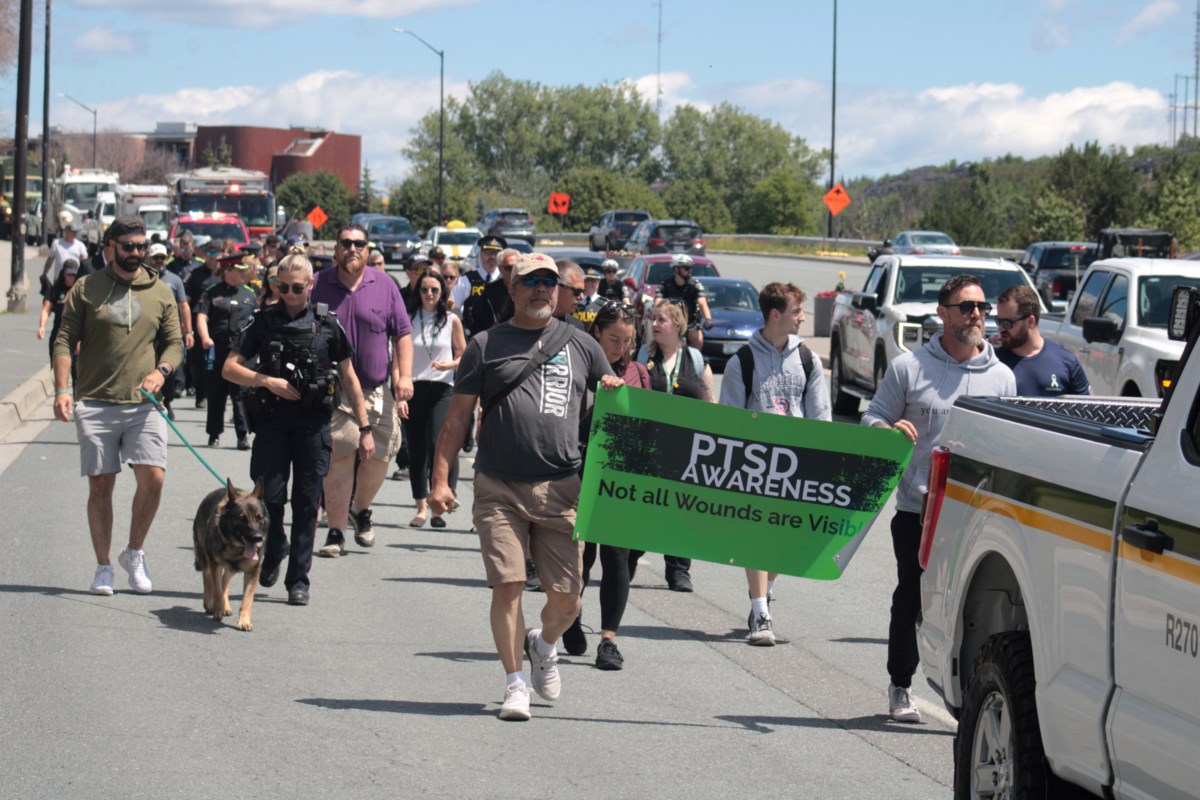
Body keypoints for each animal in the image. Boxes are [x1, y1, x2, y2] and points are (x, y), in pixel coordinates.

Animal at [193, 482, 268, 633]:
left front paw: (244, 621)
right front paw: (218, 609)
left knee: (224, 580)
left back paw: (225, 605)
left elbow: (247, 599)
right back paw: (210, 602)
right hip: (206, 559)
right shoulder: (215, 564)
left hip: (231, 568)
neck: (236, 546)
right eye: (242, 518)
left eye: (259, 518)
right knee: (208, 577)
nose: (258, 538)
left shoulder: (253, 571)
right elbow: (217, 589)